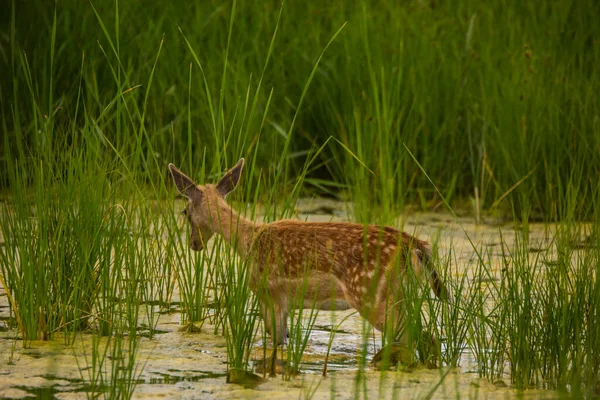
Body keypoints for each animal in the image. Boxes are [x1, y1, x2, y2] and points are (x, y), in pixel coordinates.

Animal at [168, 159, 446, 376]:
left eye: (184, 212)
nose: (194, 244)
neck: (248, 241)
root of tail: (417, 247)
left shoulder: (269, 293)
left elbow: (276, 341)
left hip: (373, 295)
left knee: (418, 338)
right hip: (402, 295)